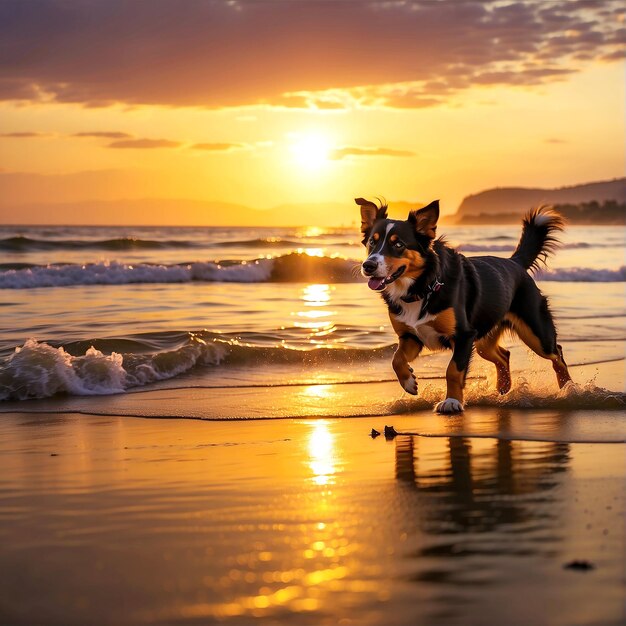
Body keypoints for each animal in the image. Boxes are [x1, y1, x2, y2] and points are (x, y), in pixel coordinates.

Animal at [354, 195, 568, 412]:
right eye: (372, 242)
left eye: (398, 245)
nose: (368, 265)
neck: (423, 287)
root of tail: (515, 262)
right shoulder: (410, 337)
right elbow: (396, 359)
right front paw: (409, 382)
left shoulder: (464, 336)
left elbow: (453, 371)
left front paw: (452, 401)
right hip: (484, 341)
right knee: (504, 355)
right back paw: (503, 387)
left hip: (537, 334)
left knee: (557, 353)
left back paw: (568, 388)